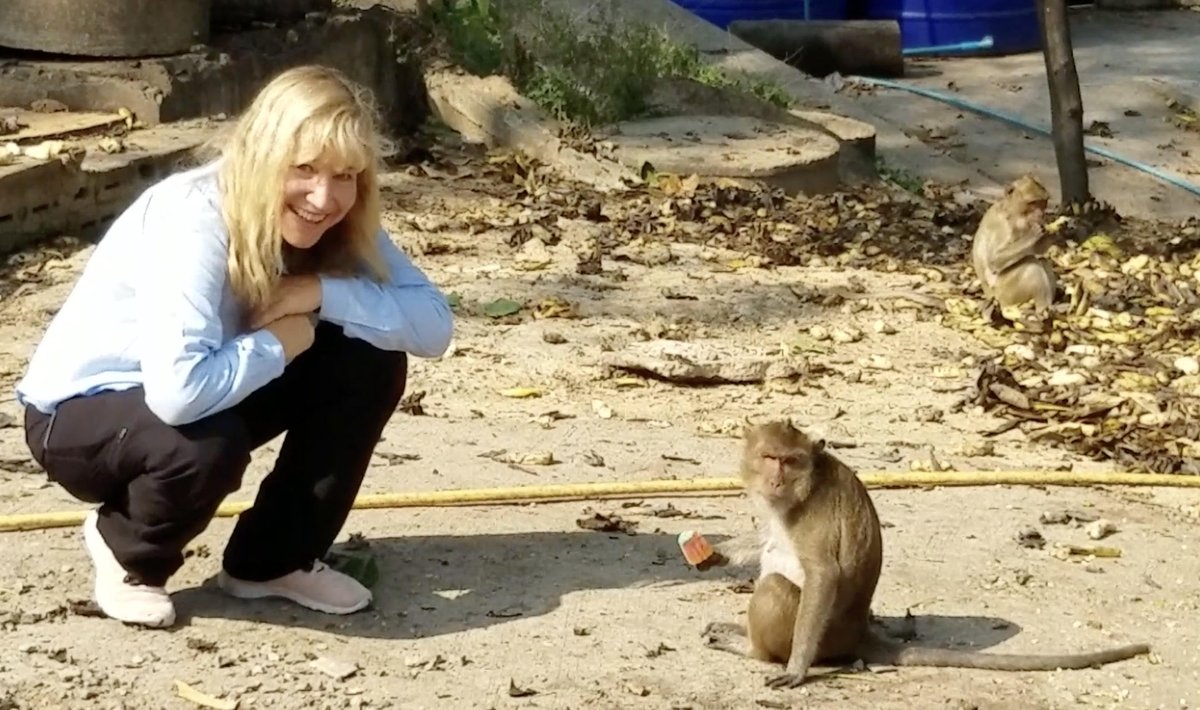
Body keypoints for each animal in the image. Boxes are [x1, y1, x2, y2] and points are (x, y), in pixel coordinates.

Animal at [701, 420, 1151, 689]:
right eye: (769, 457)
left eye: (791, 461)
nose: (776, 479)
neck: (802, 488)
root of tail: (860, 632)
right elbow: (765, 537)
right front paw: (713, 553)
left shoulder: (814, 515)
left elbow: (824, 575)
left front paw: (796, 670)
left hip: (827, 638)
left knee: (776, 587)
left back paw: (754, 649)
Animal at [970, 175, 1062, 324]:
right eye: (1033, 203)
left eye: (1043, 202)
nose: (1041, 215)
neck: (1010, 212)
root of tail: (991, 297)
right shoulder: (1003, 226)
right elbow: (994, 261)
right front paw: (1034, 235)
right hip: (1006, 292)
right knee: (1031, 264)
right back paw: (1042, 308)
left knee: (1042, 261)